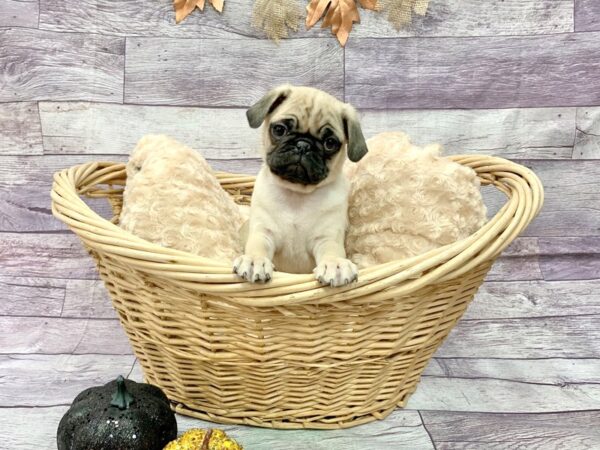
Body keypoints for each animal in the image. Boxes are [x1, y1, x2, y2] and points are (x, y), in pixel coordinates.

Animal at [232, 84, 368, 286]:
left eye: (330, 143)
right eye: (279, 130)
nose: (303, 145)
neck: (296, 194)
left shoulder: (327, 237)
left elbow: (331, 251)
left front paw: (335, 264)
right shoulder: (263, 232)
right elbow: (258, 246)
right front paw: (254, 260)